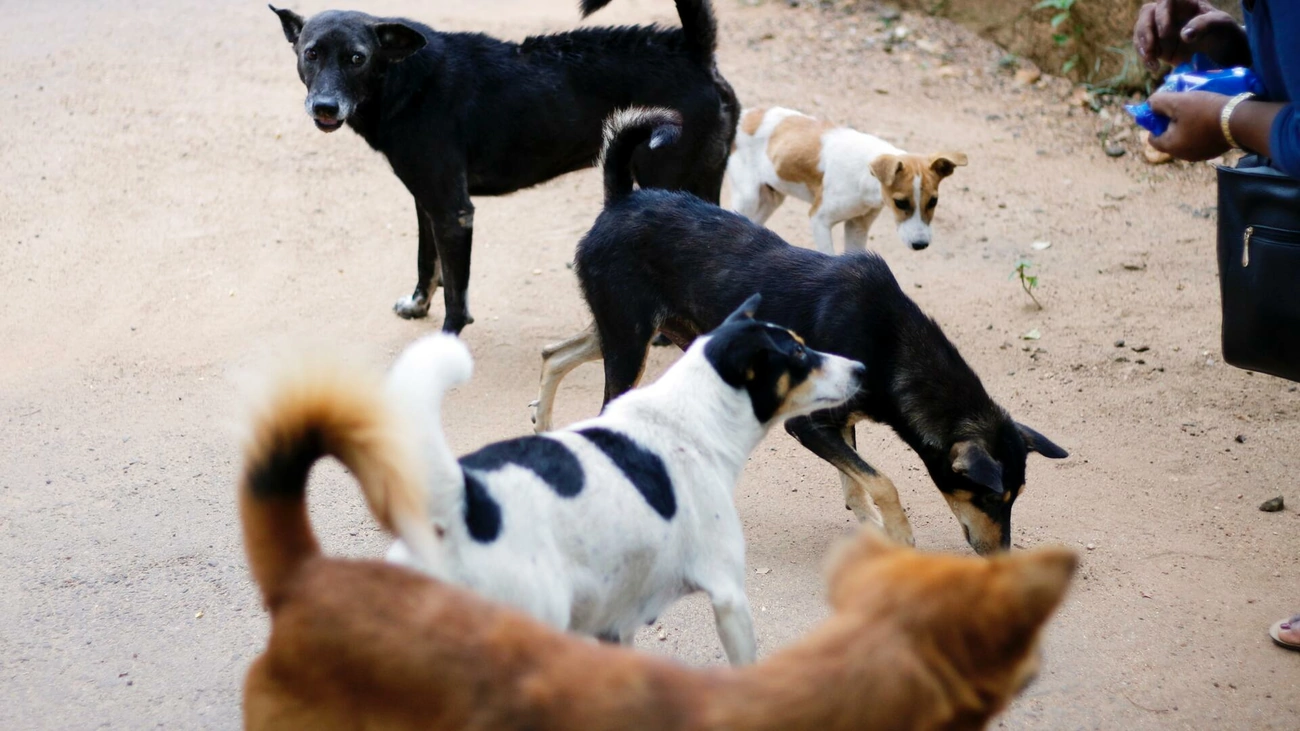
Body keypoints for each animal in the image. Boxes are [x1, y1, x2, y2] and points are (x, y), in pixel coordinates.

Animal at [271, 1, 743, 331]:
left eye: (357, 57)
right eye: (311, 54)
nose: (325, 107)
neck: (405, 78)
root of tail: (694, 50)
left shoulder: (453, 211)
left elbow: (456, 297)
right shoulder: (427, 203)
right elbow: (427, 262)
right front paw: (417, 304)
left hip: (666, 179)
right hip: (701, 180)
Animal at [728, 105, 972, 253]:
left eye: (934, 201)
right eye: (900, 203)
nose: (920, 244)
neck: (865, 177)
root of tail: (745, 114)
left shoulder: (857, 227)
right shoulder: (819, 219)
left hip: (772, 199)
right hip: (748, 198)